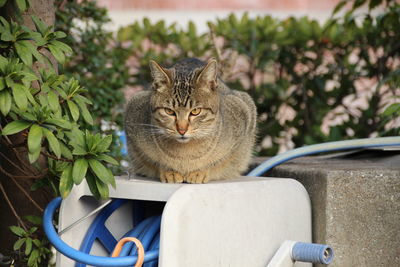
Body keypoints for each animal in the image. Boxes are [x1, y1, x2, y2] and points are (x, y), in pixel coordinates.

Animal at [124, 58, 256, 184]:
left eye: (196, 111)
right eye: (169, 111)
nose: (182, 130)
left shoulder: (244, 114)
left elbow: (219, 161)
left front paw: (201, 171)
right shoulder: (132, 117)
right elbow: (154, 161)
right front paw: (168, 170)